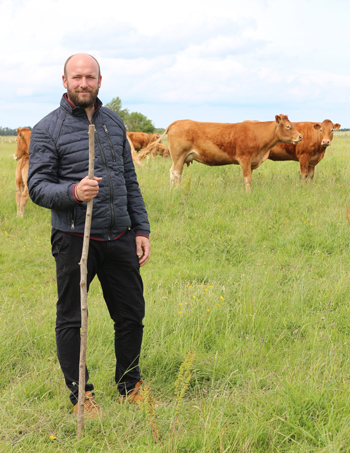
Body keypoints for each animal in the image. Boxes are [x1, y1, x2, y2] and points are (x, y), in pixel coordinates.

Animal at [146, 115, 302, 192]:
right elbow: (247, 179)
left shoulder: (251, 162)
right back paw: (177, 190)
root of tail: (179, 122)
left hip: (178, 158)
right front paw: (248, 194)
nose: (300, 136)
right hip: (179, 156)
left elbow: (250, 179)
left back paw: (172, 190)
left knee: (172, 172)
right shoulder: (244, 159)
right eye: (288, 126)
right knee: (177, 173)